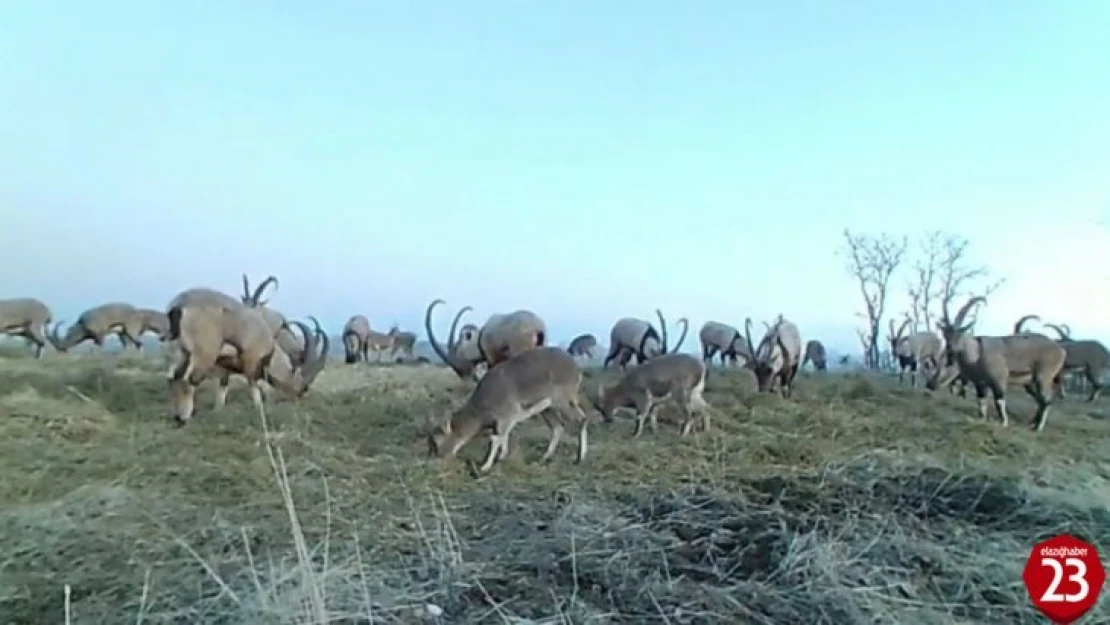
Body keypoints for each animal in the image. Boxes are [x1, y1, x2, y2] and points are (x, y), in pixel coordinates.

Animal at [164, 297, 328, 426]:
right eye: (303, 387)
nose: (295, 400)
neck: (270, 349)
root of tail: (182, 311)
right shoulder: (251, 361)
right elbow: (254, 388)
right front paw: (259, 411)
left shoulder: (226, 368)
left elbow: (223, 388)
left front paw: (218, 411)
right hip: (203, 357)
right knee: (187, 380)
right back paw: (184, 417)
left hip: (184, 354)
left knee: (174, 377)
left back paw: (176, 415)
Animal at [424, 346, 590, 475]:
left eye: (437, 441)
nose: (437, 458)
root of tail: (575, 366)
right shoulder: (504, 420)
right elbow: (503, 436)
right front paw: (501, 457)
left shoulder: (507, 415)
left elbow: (496, 438)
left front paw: (485, 466)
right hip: (547, 408)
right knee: (557, 427)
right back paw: (545, 457)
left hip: (562, 401)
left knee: (581, 419)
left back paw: (580, 458)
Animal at [923, 295, 1061, 432]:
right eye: (945, 334)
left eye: (959, 333)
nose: (950, 351)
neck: (976, 354)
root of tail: (1060, 350)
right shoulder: (980, 384)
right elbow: (981, 402)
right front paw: (981, 420)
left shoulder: (998, 380)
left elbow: (999, 401)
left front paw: (1003, 423)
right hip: (1030, 382)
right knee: (1041, 400)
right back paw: (1033, 424)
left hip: (1043, 376)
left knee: (1046, 399)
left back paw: (1038, 427)